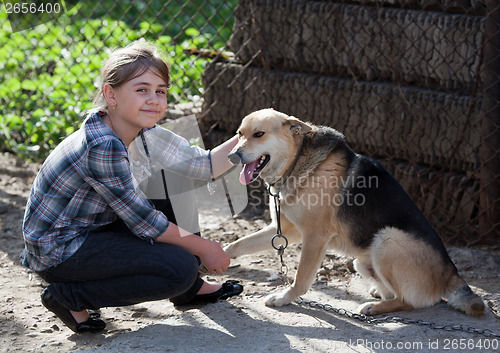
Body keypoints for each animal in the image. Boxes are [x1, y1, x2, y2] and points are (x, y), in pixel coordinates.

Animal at [227, 108, 484, 314]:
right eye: (239, 134)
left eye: (259, 134)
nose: (231, 156)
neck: (296, 161)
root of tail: (451, 273)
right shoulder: (286, 230)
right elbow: (237, 245)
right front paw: (222, 258)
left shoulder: (314, 237)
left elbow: (300, 278)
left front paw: (283, 298)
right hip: (362, 260)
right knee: (394, 291)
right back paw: (378, 294)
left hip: (387, 239)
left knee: (409, 301)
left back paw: (375, 308)